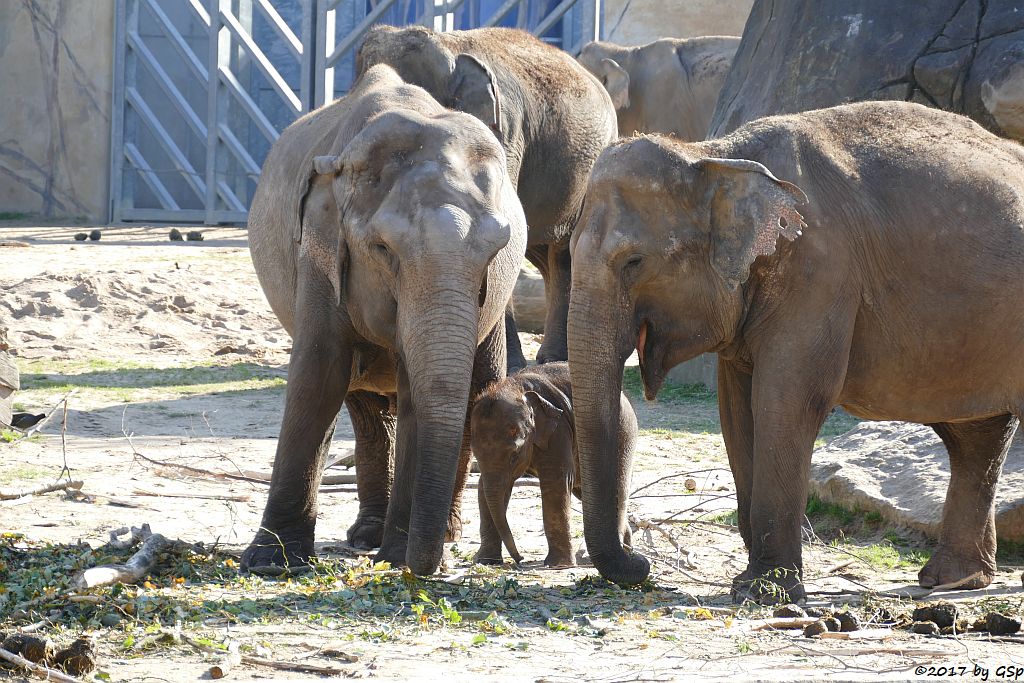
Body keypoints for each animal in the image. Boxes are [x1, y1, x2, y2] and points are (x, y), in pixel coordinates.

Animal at [241, 62, 528, 577]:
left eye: (498, 249)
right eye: (382, 249)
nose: (427, 567)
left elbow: (420, 390)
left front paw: (398, 557)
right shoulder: (319, 249)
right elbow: (318, 375)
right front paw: (270, 563)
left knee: (475, 388)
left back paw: (435, 536)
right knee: (364, 404)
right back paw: (368, 536)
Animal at [468, 360, 630, 569]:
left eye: (515, 454)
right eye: (476, 455)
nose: (521, 559)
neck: (515, 387)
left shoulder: (558, 430)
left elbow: (556, 482)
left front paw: (559, 565)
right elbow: (484, 488)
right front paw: (486, 561)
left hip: (623, 435)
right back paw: (627, 548)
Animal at [569, 101, 1024, 602]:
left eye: (633, 261)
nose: (641, 560)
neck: (714, 154)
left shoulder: (819, 270)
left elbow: (786, 400)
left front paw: (764, 593)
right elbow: (736, 412)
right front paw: (755, 583)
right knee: (976, 438)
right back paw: (952, 580)